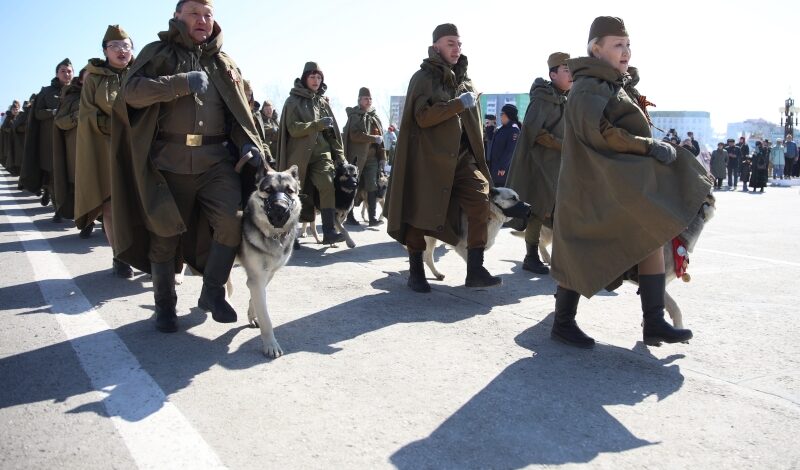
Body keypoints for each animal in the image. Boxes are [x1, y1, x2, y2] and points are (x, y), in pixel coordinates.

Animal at [238, 165, 304, 356]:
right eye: (268, 190)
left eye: (289, 191)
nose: (280, 207)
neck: (274, 235)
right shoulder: (257, 278)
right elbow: (266, 318)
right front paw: (270, 345)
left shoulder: (267, 275)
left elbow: (255, 299)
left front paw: (252, 314)